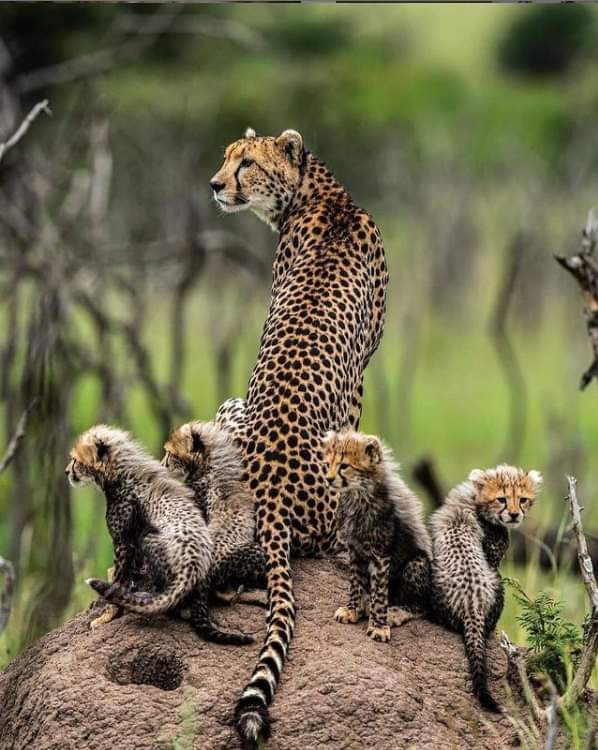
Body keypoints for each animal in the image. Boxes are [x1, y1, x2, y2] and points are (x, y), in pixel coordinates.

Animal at [66, 424, 253, 645]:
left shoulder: (122, 543)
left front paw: (107, 615)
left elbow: (117, 582)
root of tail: (193, 567)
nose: (67, 471)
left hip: (151, 540)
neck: (121, 474)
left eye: (76, 460)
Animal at [210, 127, 388, 745]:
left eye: (246, 163)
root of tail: (270, 495)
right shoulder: (358, 384)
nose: (214, 184)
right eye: (226, 159)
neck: (320, 194)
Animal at [323, 430, 432, 643]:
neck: (358, 496)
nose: (329, 479)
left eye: (344, 466)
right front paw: (352, 609)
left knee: (420, 607)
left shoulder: (381, 555)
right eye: (328, 464)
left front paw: (379, 626)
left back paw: (395, 612)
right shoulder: (354, 550)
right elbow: (355, 583)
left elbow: (380, 593)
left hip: (417, 564)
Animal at [429, 464, 542, 713]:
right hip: (497, 584)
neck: (473, 500)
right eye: (501, 499)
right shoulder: (493, 558)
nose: (514, 514)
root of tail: (472, 606)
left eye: (523, 500)